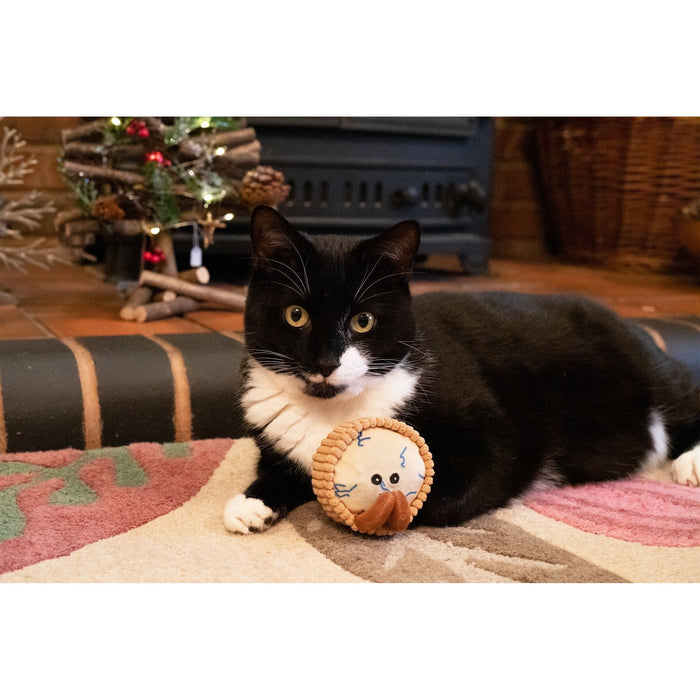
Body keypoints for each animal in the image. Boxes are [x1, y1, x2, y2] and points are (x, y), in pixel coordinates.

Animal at [223, 205, 700, 532]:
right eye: (296, 315)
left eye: (364, 321)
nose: (325, 363)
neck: (330, 411)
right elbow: (276, 469)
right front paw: (252, 502)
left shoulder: (500, 436)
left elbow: (457, 490)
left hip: (642, 367)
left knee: (681, 395)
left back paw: (691, 461)